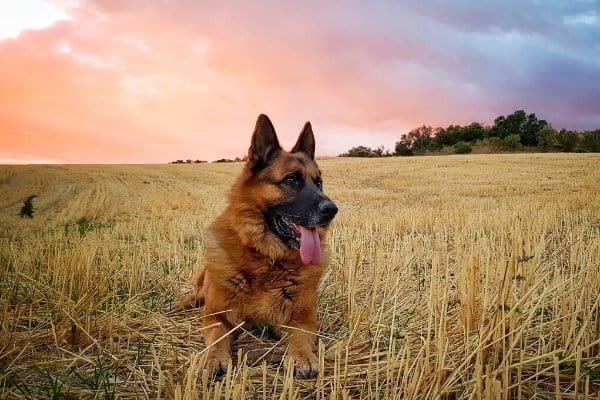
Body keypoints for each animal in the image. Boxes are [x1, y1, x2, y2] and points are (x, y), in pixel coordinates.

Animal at [177, 113, 338, 378]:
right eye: (291, 179)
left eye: (319, 183)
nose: (332, 210)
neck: (266, 259)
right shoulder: (217, 318)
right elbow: (217, 338)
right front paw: (212, 359)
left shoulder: (302, 320)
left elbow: (300, 339)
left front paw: (303, 356)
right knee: (195, 294)